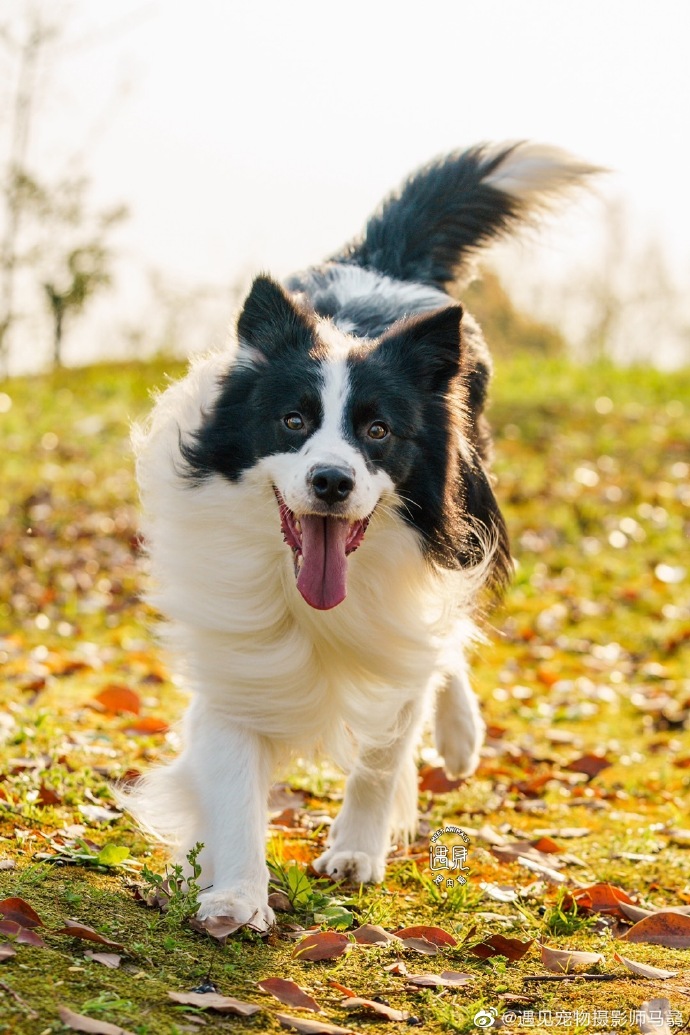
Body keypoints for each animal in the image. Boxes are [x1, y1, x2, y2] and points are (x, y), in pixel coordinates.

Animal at [125, 143, 600, 931]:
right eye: (292, 421)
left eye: (377, 431)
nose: (330, 482)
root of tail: (383, 263)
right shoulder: (235, 645)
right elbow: (234, 774)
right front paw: (238, 893)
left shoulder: (405, 609)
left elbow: (386, 743)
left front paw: (355, 849)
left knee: (447, 638)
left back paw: (461, 737)